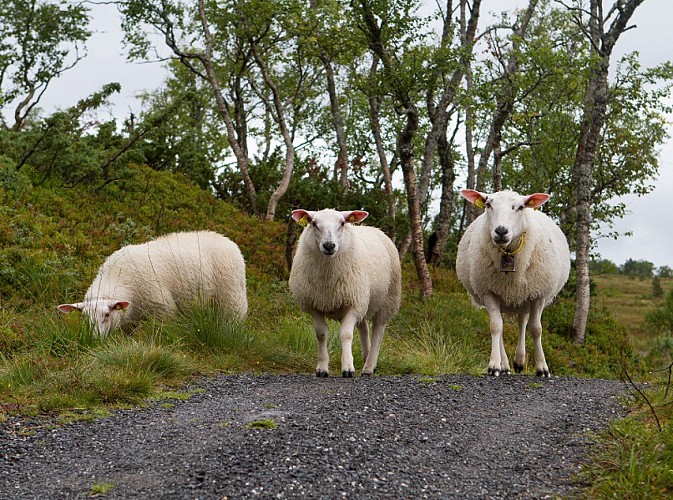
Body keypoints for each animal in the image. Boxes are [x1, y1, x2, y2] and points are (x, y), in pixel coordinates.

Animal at [57, 230, 247, 336]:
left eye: (107, 315)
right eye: (84, 317)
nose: (93, 339)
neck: (117, 276)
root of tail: (226, 239)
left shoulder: (163, 308)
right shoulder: (130, 316)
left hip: (232, 294)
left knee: (235, 317)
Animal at [288, 209, 400, 376]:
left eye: (342, 223)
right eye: (313, 223)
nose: (329, 245)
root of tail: (374, 228)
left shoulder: (353, 304)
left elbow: (346, 334)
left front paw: (348, 368)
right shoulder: (314, 305)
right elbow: (321, 334)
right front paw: (322, 368)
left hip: (387, 300)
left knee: (378, 332)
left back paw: (369, 367)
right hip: (363, 300)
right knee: (364, 328)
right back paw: (367, 357)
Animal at [454, 189, 568, 376]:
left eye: (520, 207)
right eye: (488, 204)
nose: (501, 230)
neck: (508, 253)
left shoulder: (538, 295)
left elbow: (536, 329)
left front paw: (542, 367)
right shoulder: (489, 291)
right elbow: (495, 327)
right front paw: (494, 365)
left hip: (523, 297)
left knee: (523, 323)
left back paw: (519, 361)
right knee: (501, 327)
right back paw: (505, 366)